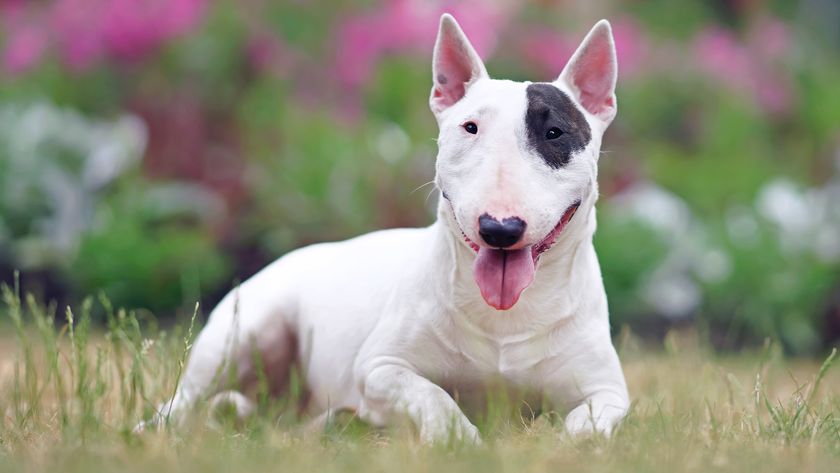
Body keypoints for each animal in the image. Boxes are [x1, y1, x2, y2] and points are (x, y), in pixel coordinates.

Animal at [144, 13, 628, 442]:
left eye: (555, 133)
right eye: (470, 127)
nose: (499, 228)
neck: (505, 319)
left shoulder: (607, 392)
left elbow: (587, 426)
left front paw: (566, 439)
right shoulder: (380, 368)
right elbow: (433, 396)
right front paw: (457, 439)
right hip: (246, 330)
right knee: (185, 399)